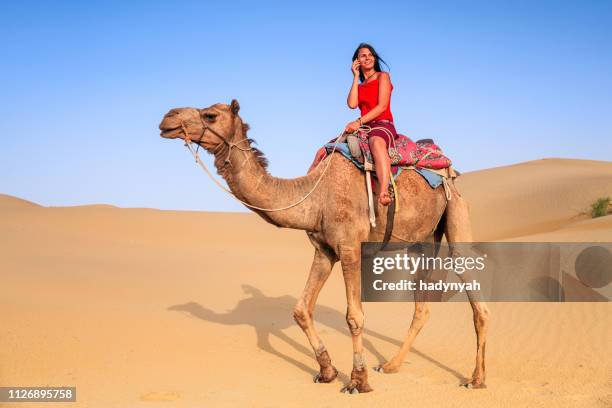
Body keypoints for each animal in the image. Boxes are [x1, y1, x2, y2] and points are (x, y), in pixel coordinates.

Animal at [160, 99, 490, 392]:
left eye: (210, 115)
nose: (167, 118)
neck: (314, 197)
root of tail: (448, 168)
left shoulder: (350, 247)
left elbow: (354, 317)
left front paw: (358, 381)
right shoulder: (324, 251)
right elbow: (301, 310)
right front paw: (327, 371)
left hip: (455, 210)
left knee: (476, 298)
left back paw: (476, 379)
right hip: (420, 242)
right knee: (422, 306)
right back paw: (391, 365)